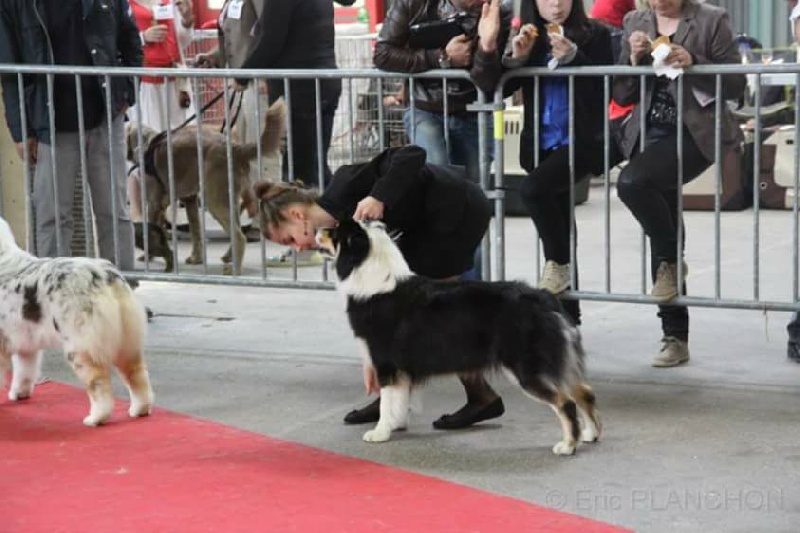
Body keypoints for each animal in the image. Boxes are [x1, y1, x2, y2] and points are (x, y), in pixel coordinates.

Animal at [0, 214, 153, 426]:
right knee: (137, 376)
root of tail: (104, 275)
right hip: (127, 341)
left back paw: (95, 418)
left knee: (99, 384)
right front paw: (19, 394)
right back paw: (139, 410)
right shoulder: (26, 343)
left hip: (81, 347)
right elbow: (24, 371)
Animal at [126, 97, 286, 274]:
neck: (147, 144)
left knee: (239, 236)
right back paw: (229, 257)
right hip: (230, 197)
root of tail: (235, 148)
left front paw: (148, 256)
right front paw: (196, 258)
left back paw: (235, 269)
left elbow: (151, 230)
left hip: (215, 200)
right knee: (235, 228)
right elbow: (196, 231)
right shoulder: (189, 200)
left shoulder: (154, 204)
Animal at [318, 219, 600, 454]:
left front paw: (379, 433)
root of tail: (545, 299)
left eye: (335, 231)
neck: (372, 279)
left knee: (566, 402)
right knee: (584, 391)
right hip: (554, 361)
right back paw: (590, 435)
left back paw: (567, 446)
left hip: (527, 368)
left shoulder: (385, 362)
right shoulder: (401, 369)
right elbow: (400, 399)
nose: (318, 229)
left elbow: (387, 400)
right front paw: (395, 425)